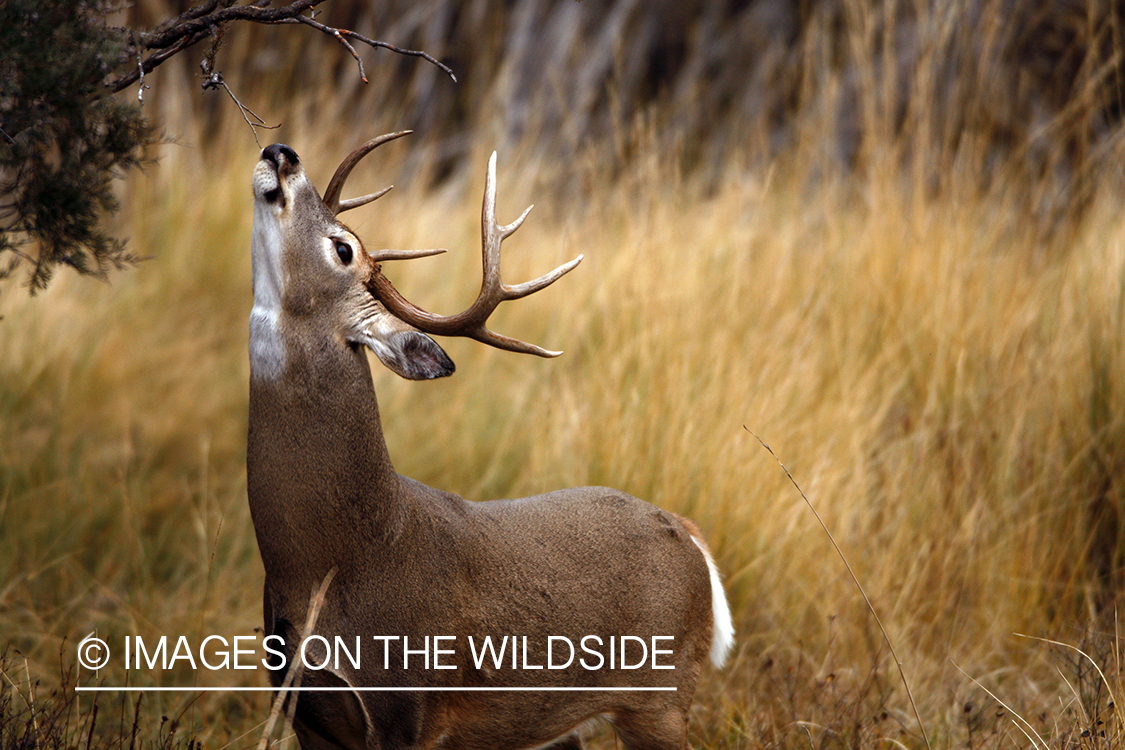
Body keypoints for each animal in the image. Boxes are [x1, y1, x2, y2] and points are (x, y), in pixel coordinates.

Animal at [246, 134, 733, 750]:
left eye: (342, 248)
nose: (281, 150)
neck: (336, 558)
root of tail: (689, 533)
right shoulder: (303, 712)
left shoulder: (407, 709)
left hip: (660, 700)